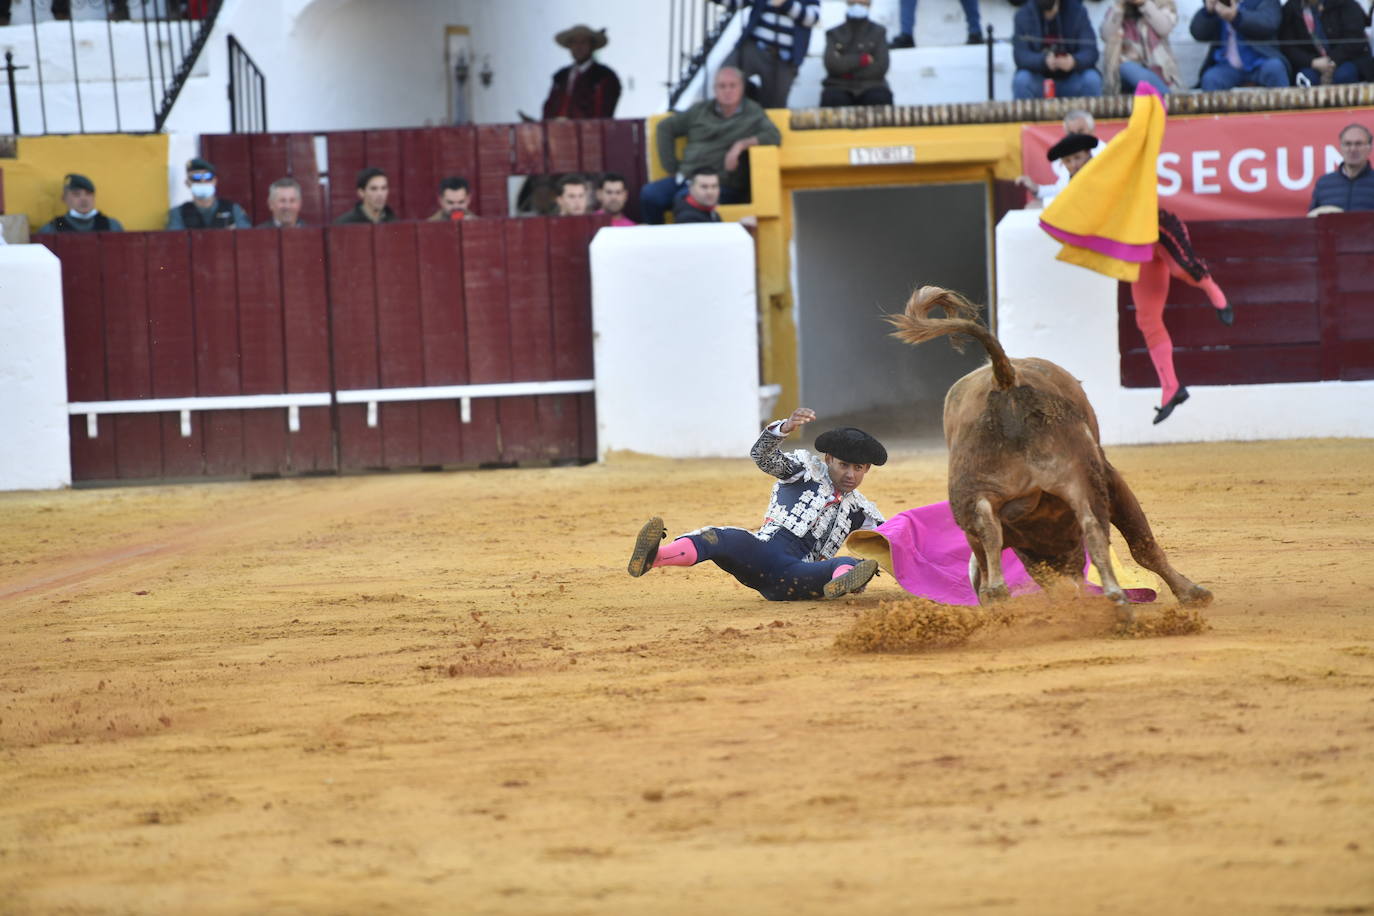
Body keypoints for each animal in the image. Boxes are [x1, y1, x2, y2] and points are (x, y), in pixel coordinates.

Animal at [884, 287, 1209, 623]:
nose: (1069, 577)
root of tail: (1005, 379)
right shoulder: (1111, 478)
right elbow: (1142, 543)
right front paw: (1192, 593)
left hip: (974, 488)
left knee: (989, 533)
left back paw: (1003, 595)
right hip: (1084, 474)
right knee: (1093, 527)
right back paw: (1119, 602)